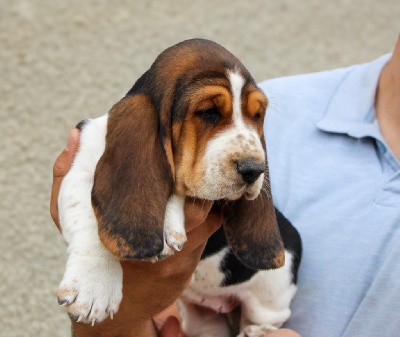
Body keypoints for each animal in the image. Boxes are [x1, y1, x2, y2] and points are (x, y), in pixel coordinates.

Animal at [55, 38, 300, 334]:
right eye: (209, 113)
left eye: (257, 116)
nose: (255, 169)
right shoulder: (78, 169)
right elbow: (88, 219)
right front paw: (94, 288)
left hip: (272, 292)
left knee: (268, 317)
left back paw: (257, 331)